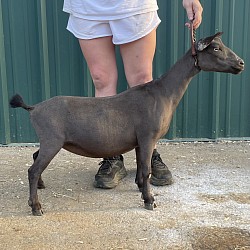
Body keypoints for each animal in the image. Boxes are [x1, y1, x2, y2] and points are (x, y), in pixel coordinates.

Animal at [9, 31, 244, 215]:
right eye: (216, 48)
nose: (241, 63)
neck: (163, 93)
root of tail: (34, 108)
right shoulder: (148, 136)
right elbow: (146, 169)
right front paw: (150, 201)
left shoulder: (140, 140)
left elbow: (141, 167)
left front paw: (141, 188)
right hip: (52, 139)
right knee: (33, 169)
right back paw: (36, 206)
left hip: (49, 140)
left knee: (35, 159)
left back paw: (41, 185)